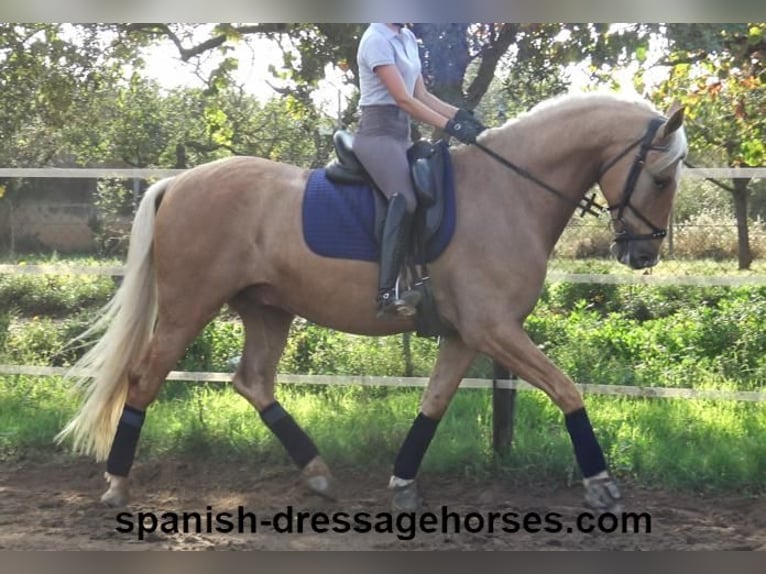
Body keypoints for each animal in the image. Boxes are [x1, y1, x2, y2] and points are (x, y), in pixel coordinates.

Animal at [55, 92, 688, 516]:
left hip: (267, 309)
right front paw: (601, 483)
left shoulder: (467, 334)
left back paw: (318, 474)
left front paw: (404, 484)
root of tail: (177, 183)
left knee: (253, 381)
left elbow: (433, 404)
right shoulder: (494, 329)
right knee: (145, 378)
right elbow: (567, 389)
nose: (641, 255)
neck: (510, 192)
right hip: (190, 306)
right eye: (661, 178)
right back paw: (117, 483)